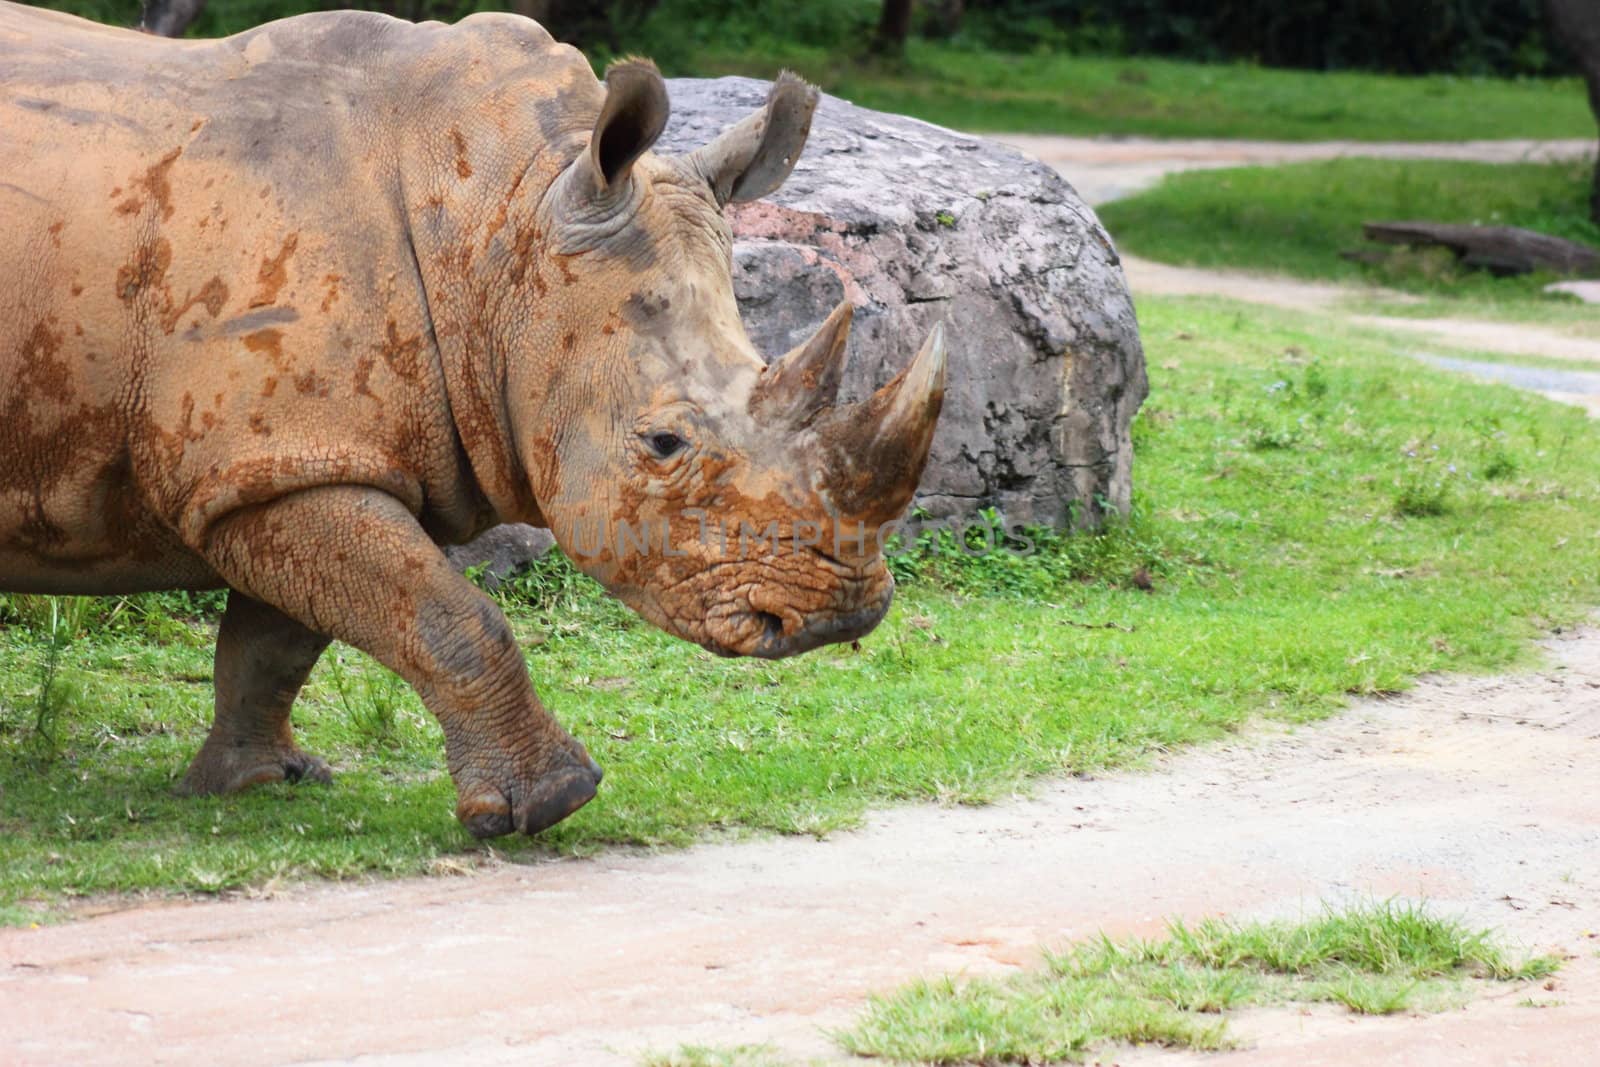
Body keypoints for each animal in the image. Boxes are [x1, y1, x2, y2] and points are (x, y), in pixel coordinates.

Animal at [0, 8, 940, 838]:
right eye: (664, 443)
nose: (835, 616)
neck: (497, 224)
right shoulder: (276, 463)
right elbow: (448, 617)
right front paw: (549, 802)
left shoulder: (288, 458)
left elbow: (280, 639)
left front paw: (253, 782)